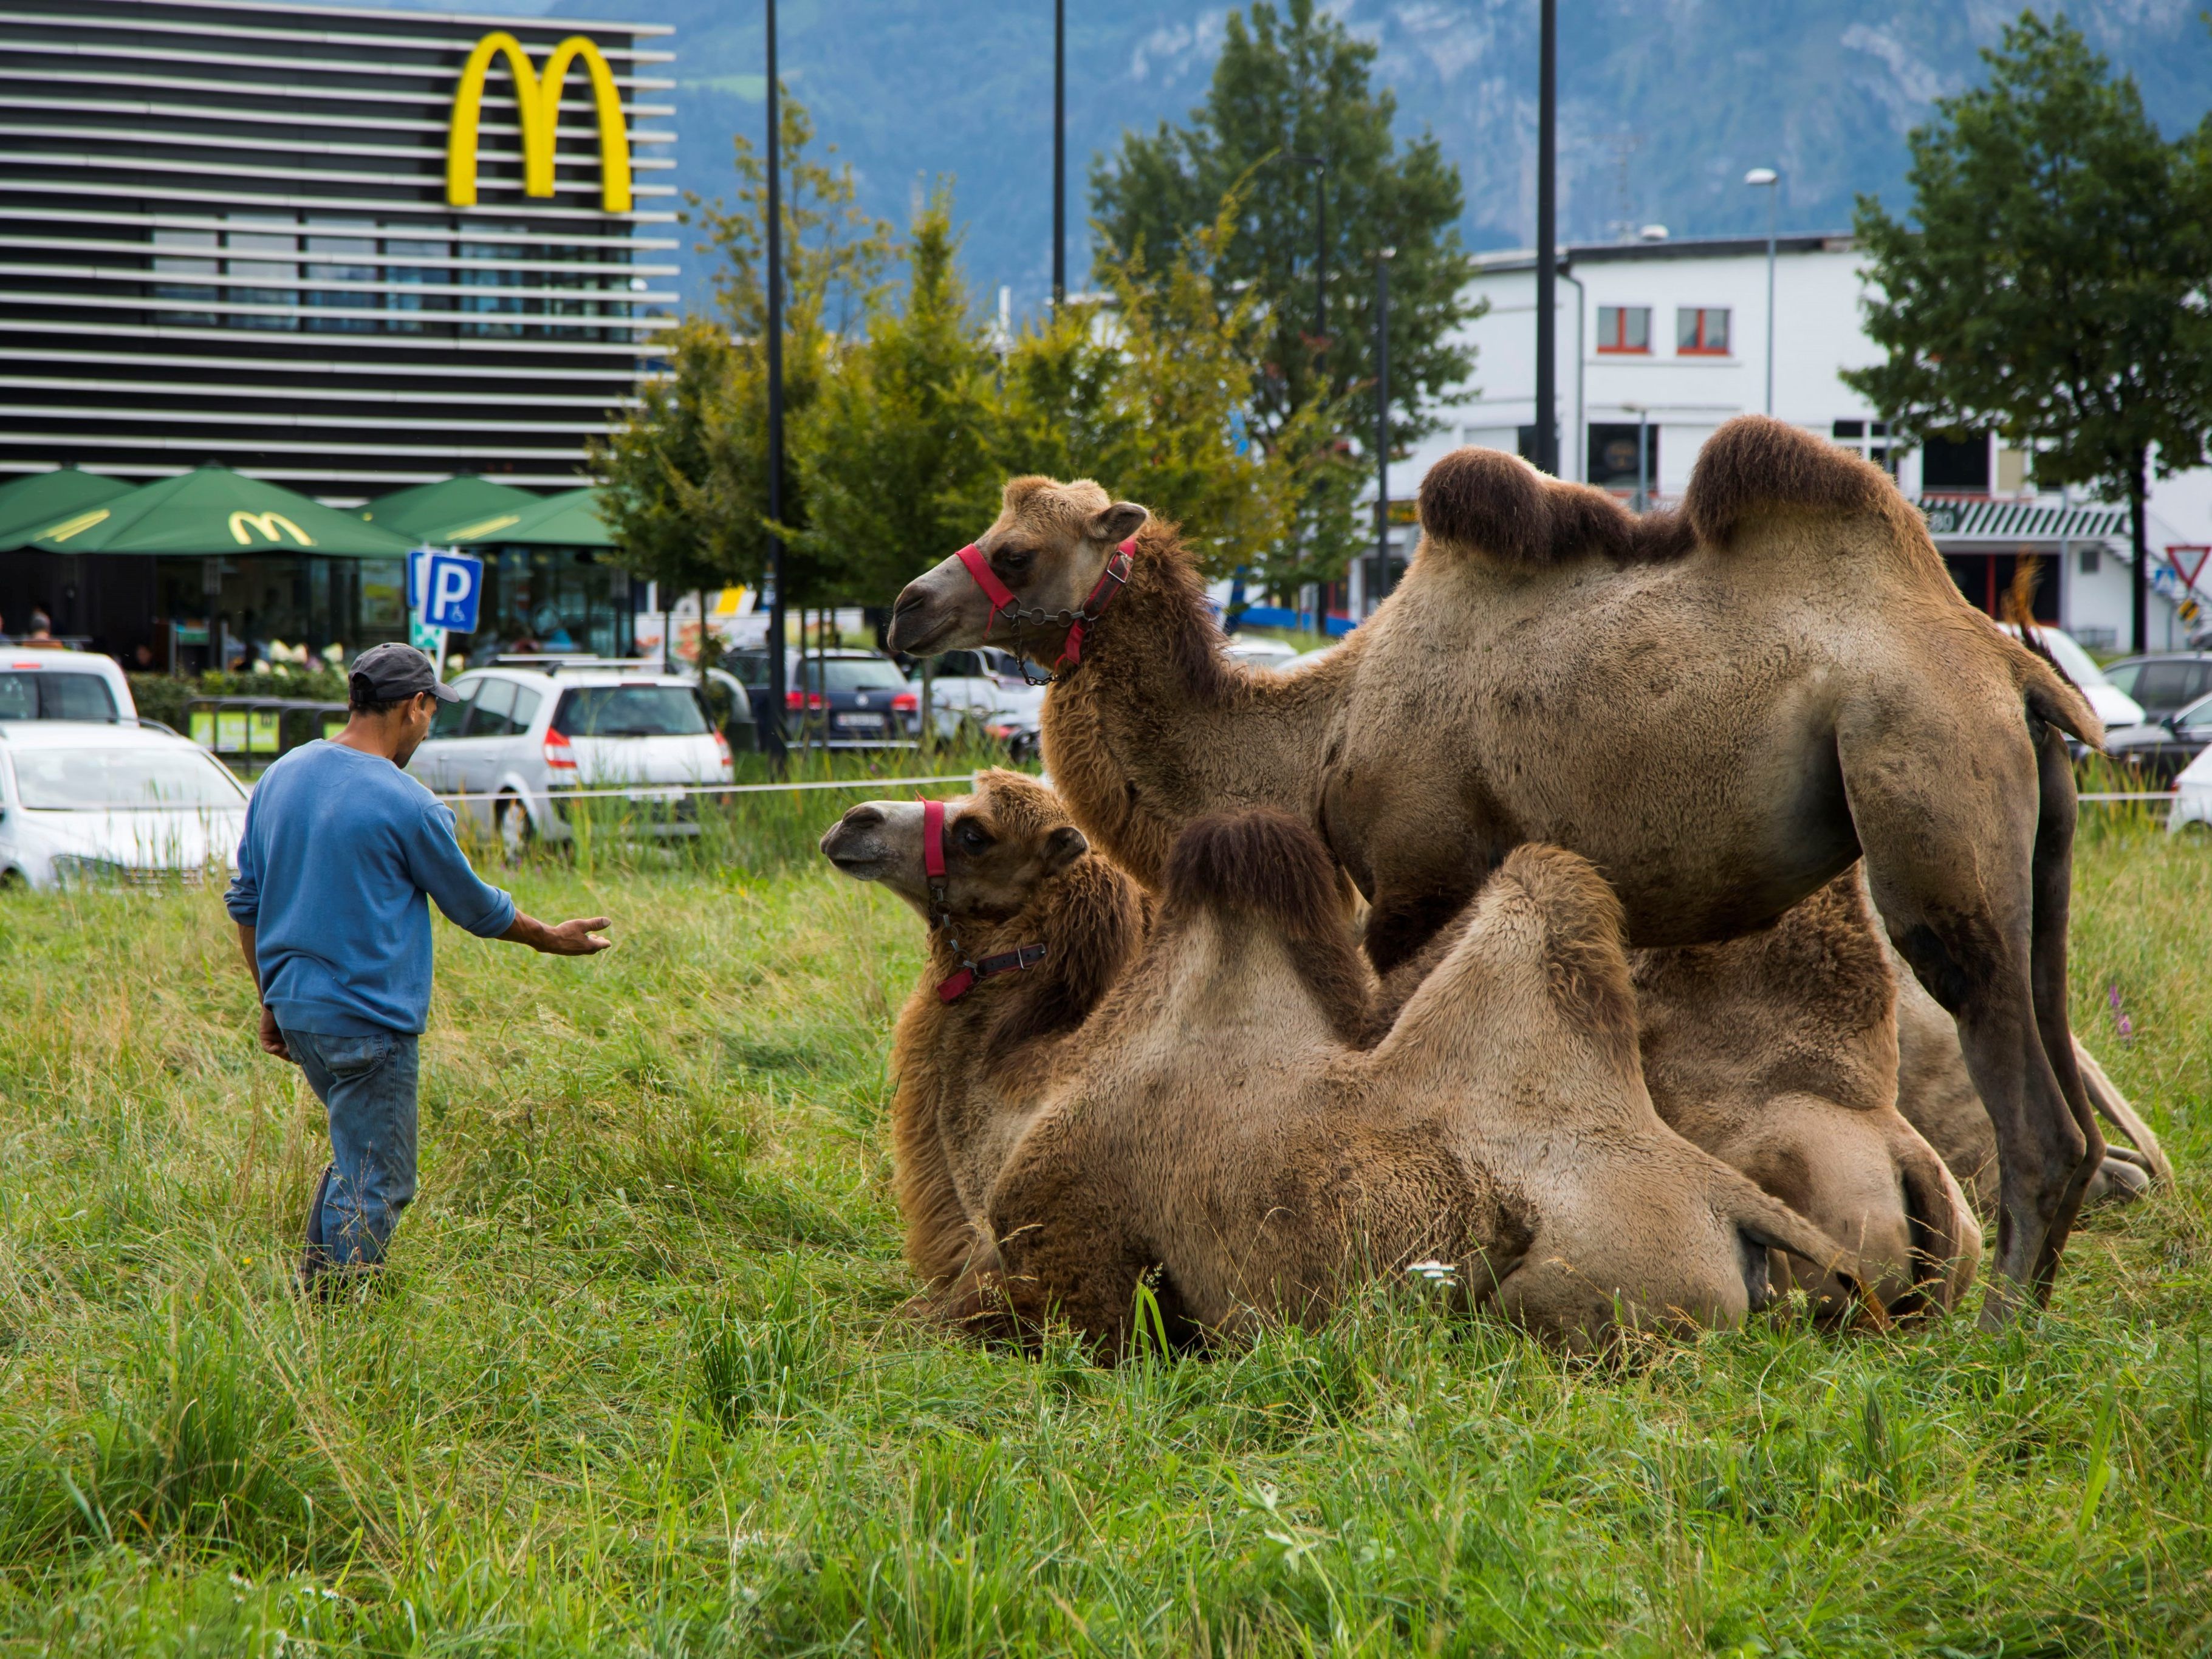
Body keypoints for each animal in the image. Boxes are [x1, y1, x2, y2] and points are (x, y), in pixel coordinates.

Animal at [827, 787, 1849, 1353]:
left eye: (974, 830)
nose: (852, 819)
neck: (1028, 1092)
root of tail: (1728, 1195)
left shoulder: (1074, 1270)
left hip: (1579, 1288)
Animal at [889, 416, 2097, 1327]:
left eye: (1015, 552)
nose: (906, 608)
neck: (1317, 731)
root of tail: (2010, 669)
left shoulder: (1416, 877)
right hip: (2029, 839)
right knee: (2060, 1067)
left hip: (1923, 778)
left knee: (2018, 1087)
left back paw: (1995, 1332)